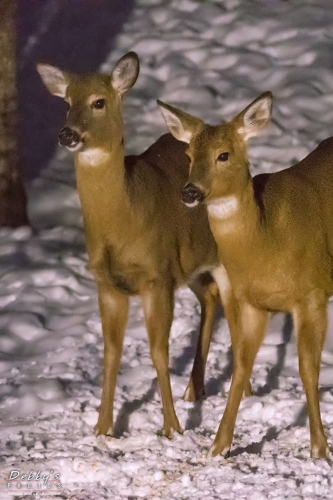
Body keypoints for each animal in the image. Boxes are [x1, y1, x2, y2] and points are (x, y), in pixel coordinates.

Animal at [36, 51, 228, 438]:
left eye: (99, 102)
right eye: (66, 103)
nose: (67, 134)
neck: (124, 220)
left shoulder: (156, 275)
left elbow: (158, 350)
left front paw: (172, 428)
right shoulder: (108, 283)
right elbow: (111, 353)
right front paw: (102, 428)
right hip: (191, 264)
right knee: (210, 297)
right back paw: (194, 389)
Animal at [158, 92, 332, 458]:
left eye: (224, 155)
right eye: (189, 155)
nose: (190, 192)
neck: (267, 240)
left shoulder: (312, 294)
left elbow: (307, 370)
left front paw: (319, 448)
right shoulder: (252, 302)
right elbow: (240, 364)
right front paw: (218, 446)